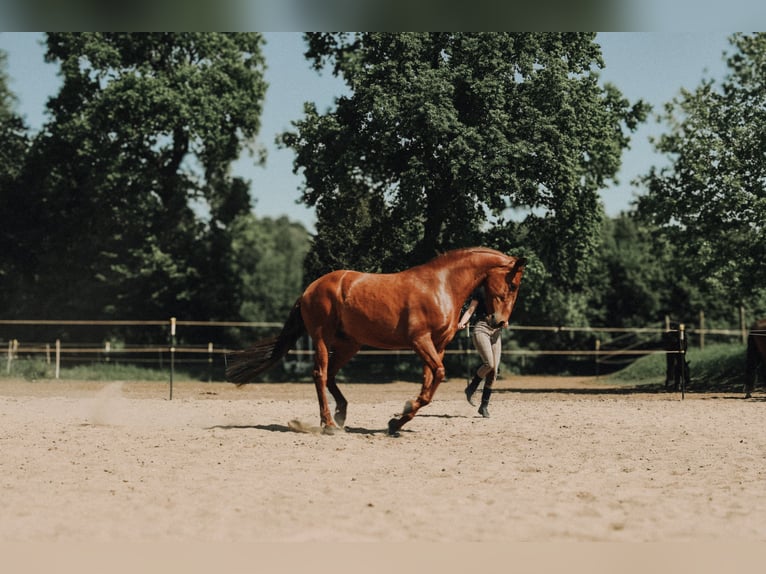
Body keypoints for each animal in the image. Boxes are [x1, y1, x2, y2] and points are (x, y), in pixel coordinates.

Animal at [226, 247, 527, 435]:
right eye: (512, 285)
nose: (499, 322)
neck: (441, 285)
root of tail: (309, 290)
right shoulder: (420, 341)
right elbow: (438, 375)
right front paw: (400, 417)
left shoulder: (437, 345)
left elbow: (429, 385)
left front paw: (398, 421)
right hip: (323, 338)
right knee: (320, 374)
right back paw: (329, 424)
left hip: (350, 344)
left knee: (331, 374)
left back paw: (341, 414)